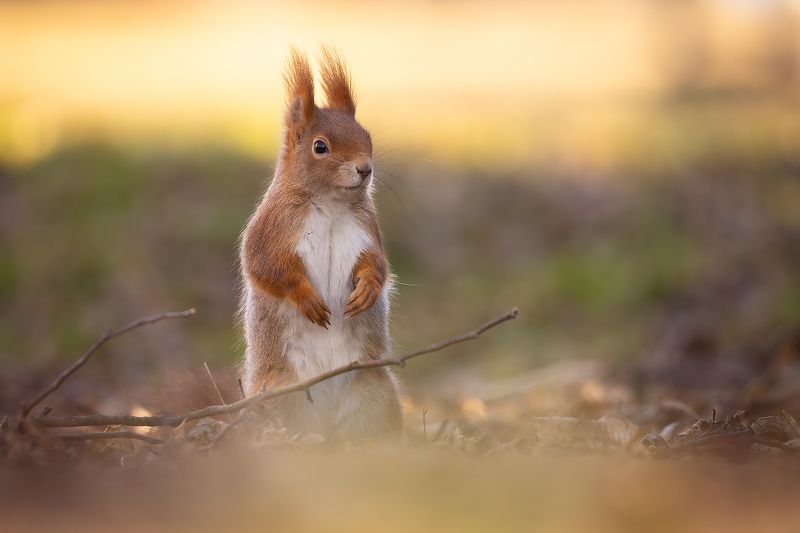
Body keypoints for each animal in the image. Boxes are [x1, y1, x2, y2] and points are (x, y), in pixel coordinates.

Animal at [238, 47, 402, 440]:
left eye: (367, 135)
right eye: (320, 147)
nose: (365, 168)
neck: (329, 203)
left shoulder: (366, 231)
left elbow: (378, 265)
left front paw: (367, 289)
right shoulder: (271, 229)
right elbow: (264, 266)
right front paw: (305, 298)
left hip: (372, 387)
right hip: (281, 392)